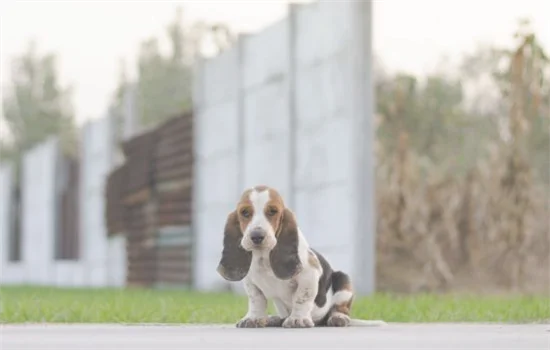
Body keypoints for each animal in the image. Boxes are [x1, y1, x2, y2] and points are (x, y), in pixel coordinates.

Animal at [217, 186, 388, 328]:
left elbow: (301, 298)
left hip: (343, 281)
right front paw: (253, 318)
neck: (263, 257)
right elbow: (256, 300)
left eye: (273, 211)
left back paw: (338, 318)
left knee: (340, 308)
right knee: (281, 315)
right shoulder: (250, 282)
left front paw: (297, 319)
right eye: (244, 212)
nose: (257, 236)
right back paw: (273, 319)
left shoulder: (309, 275)